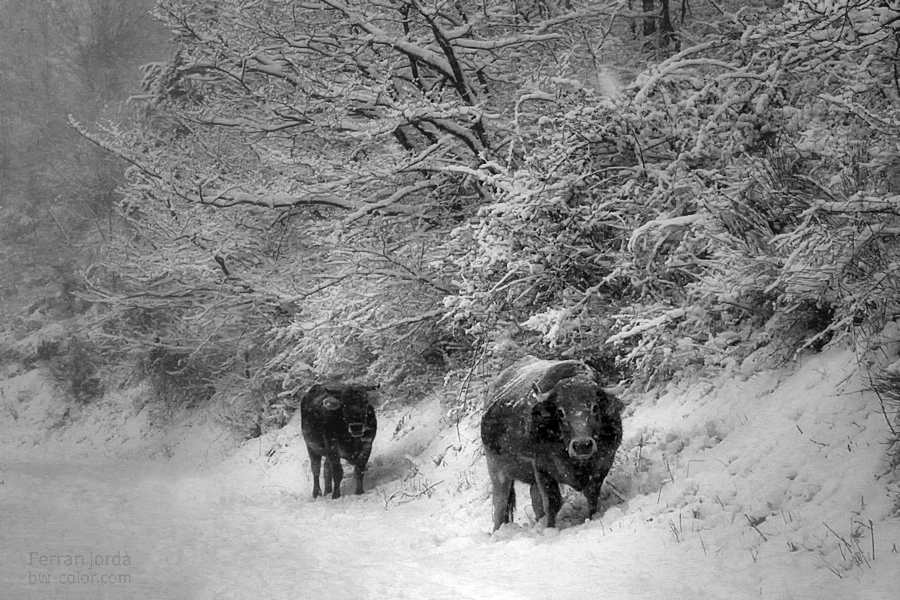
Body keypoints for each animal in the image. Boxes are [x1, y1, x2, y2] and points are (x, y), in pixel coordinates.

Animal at [481, 356, 623, 531]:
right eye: (560, 412)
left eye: (595, 407)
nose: (582, 445)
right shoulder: (542, 468)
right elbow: (552, 503)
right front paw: (549, 528)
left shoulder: (604, 462)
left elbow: (592, 495)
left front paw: (592, 517)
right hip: (498, 471)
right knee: (500, 506)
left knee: (535, 500)